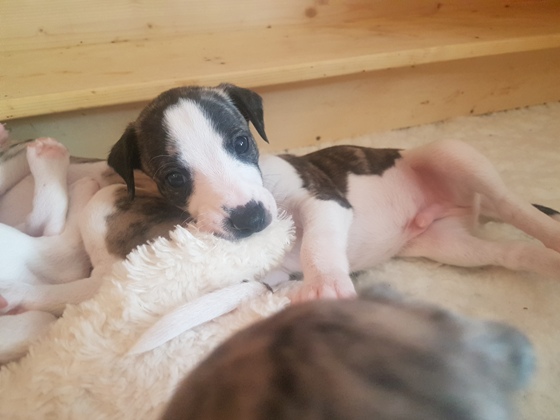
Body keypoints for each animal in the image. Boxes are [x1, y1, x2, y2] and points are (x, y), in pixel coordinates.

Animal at [1, 84, 559, 361]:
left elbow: (318, 243)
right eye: (174, 176)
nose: (250, 219)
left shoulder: (325, 201)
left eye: (241, 142)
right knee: (510, 251)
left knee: (516, 208)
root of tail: (457, 206)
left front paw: (327, 285)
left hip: (452, 156)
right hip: (450, 244)